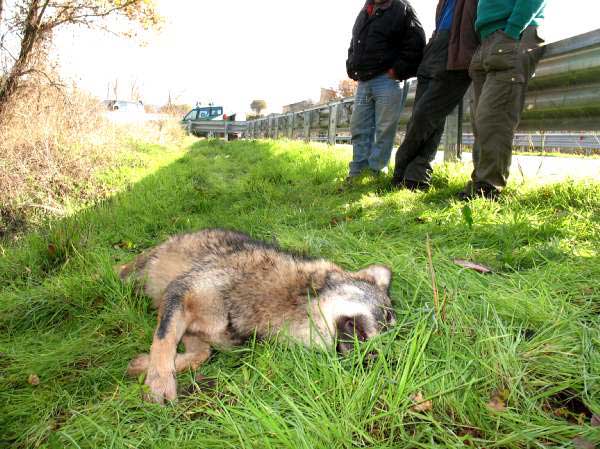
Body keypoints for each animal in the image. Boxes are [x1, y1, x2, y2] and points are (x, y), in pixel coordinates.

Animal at [119, 228, 395, 403]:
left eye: (392, 331)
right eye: (387, 316)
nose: (379, 358)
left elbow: (200, 354)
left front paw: (142, 365)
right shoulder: (179, 292)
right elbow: (164, 340)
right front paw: (159, 382)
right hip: (137, 273)